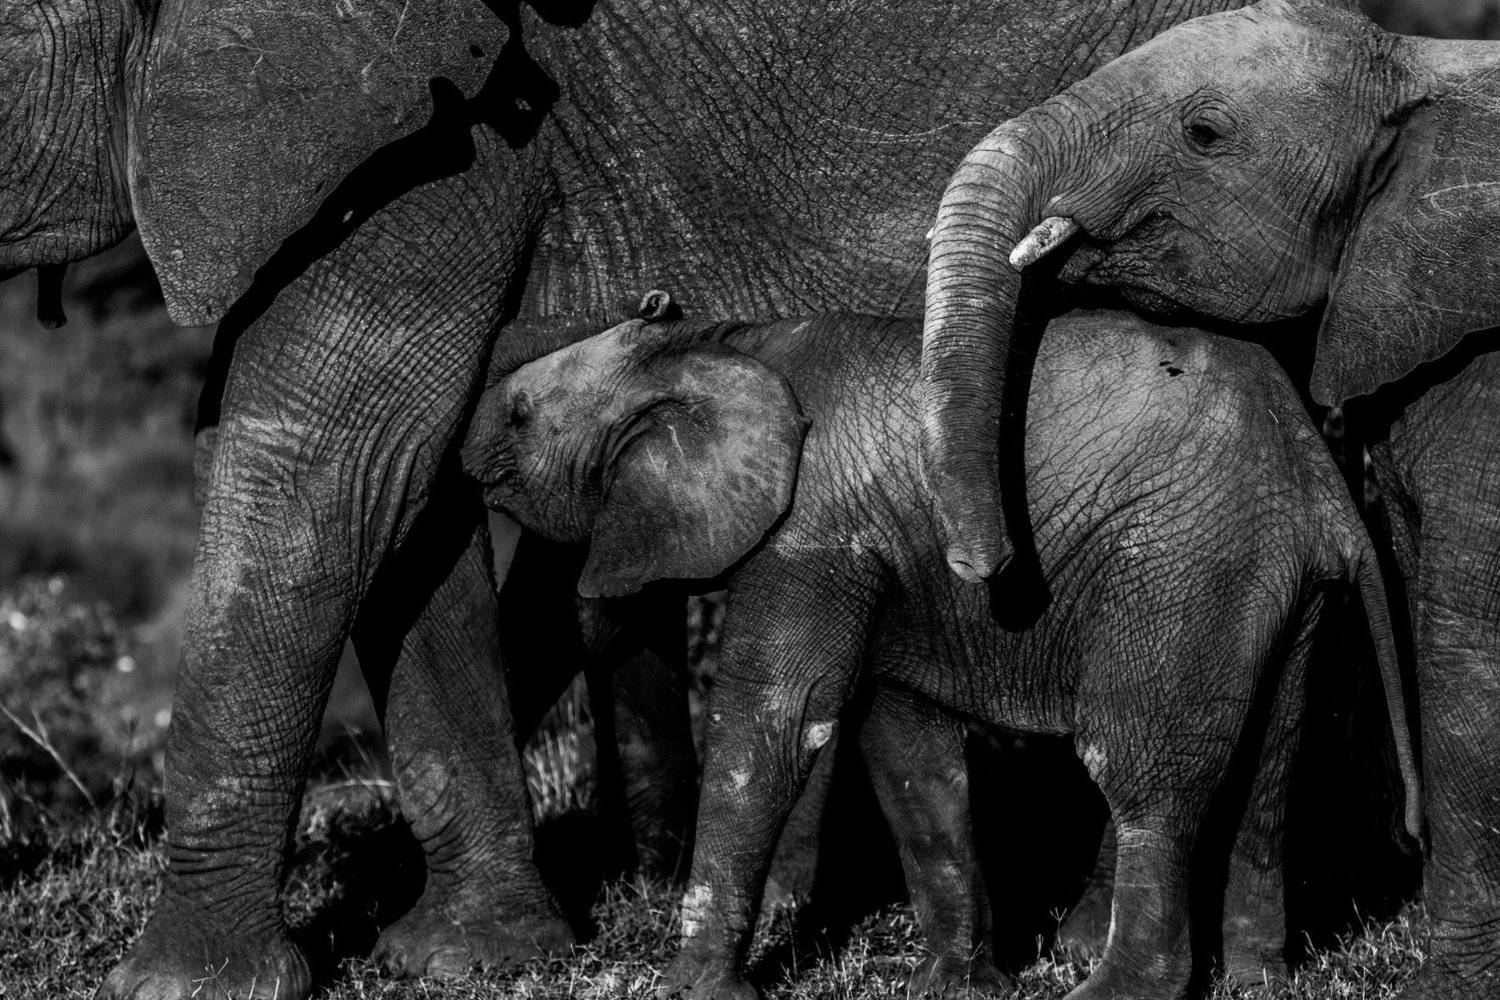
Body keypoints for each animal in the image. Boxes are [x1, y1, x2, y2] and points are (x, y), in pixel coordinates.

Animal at [1, 2, 1276, 996]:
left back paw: (1097, 943)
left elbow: (330, 453)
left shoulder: (429, 123)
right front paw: (474, 956)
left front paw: (187, 985)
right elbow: (401, 494)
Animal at [459, 308, 1422, 1000]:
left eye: (520, 414)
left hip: (1184, 562)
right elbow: (905, 743)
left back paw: (1114, 991)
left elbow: (776, 719)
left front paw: (695, 992)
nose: (470, 463)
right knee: (1269, 769)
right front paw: (957, 987)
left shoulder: (814, 530)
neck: (719, 344)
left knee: (1138, 768)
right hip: (1278, 583)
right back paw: (1260, 981)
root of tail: (1323, 487)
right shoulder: (890, 559)